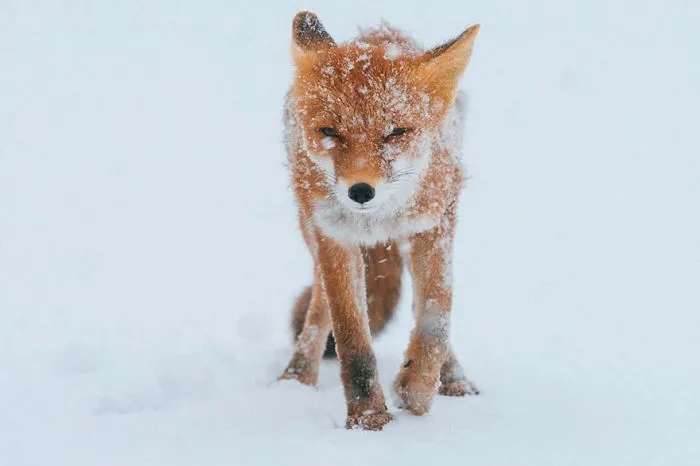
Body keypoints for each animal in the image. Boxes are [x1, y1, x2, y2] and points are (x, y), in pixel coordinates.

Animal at [278, 11, 481, 431]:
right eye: (330, 132)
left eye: (396, 132)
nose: (360, 191)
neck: (380, 219)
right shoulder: (334, 237)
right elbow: (353, 342)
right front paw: (369, 418)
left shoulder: (433, 225)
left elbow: (435, 321)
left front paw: (416, 390)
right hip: (312, 232)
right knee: (318, 308)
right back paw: (296, 376)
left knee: (424, 307)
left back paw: (453, 378)